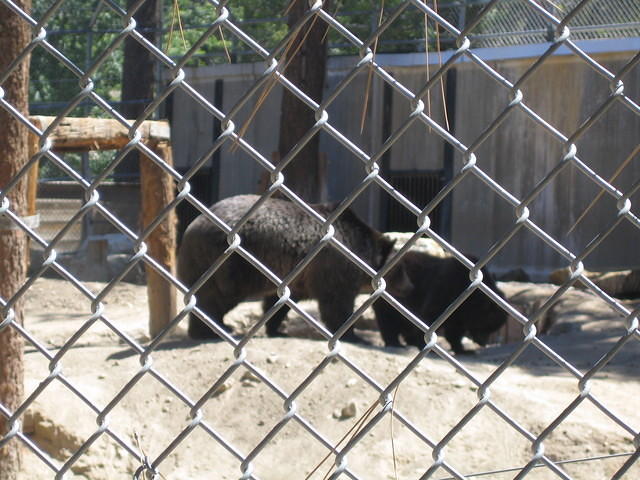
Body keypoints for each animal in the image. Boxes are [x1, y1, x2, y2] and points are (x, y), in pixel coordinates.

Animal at [178, 193, 404, 344]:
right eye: (399, 269)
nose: (407, 286)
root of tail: (191, 227)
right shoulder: (335, 265)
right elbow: (337, 303)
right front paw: (354, 335)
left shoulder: (294, 276)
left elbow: (279, 302)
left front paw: (276, 329)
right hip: (230, 262)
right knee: (217, 296)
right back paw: (213, 329)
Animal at [372, 249, 508, 354]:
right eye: (486, 327)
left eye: (493, 329)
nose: (483, 343)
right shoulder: (445, 289)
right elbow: (430, 316)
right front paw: (426, 344)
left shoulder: (459, 311)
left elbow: (455, 330)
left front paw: (463, 349)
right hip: (391, 295)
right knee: (388, 321)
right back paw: (395, 342)